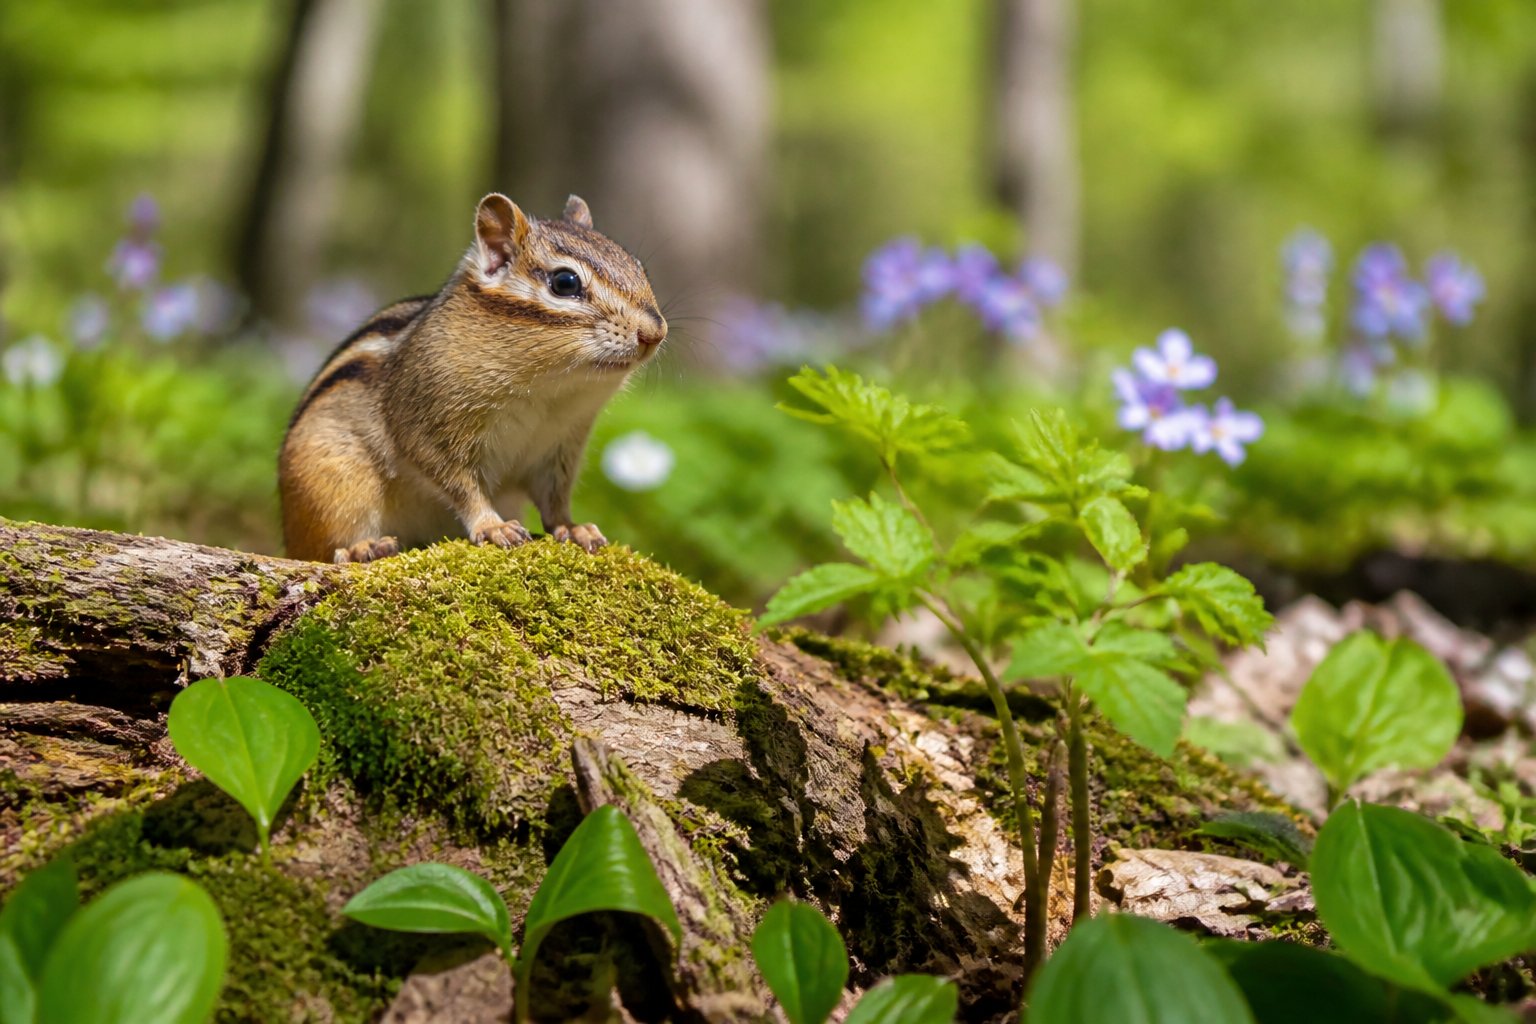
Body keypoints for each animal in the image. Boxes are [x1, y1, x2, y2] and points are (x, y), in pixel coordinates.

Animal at [278, 193, 667, 563]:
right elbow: (462, 486)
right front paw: (493, 526)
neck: (550, 390)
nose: (654, 333)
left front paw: (572, 528)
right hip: (333, 484)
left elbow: (554, 499)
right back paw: (362, 547)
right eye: (565, 282)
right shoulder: (429, 429)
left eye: (638, 266)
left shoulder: (560, 447)